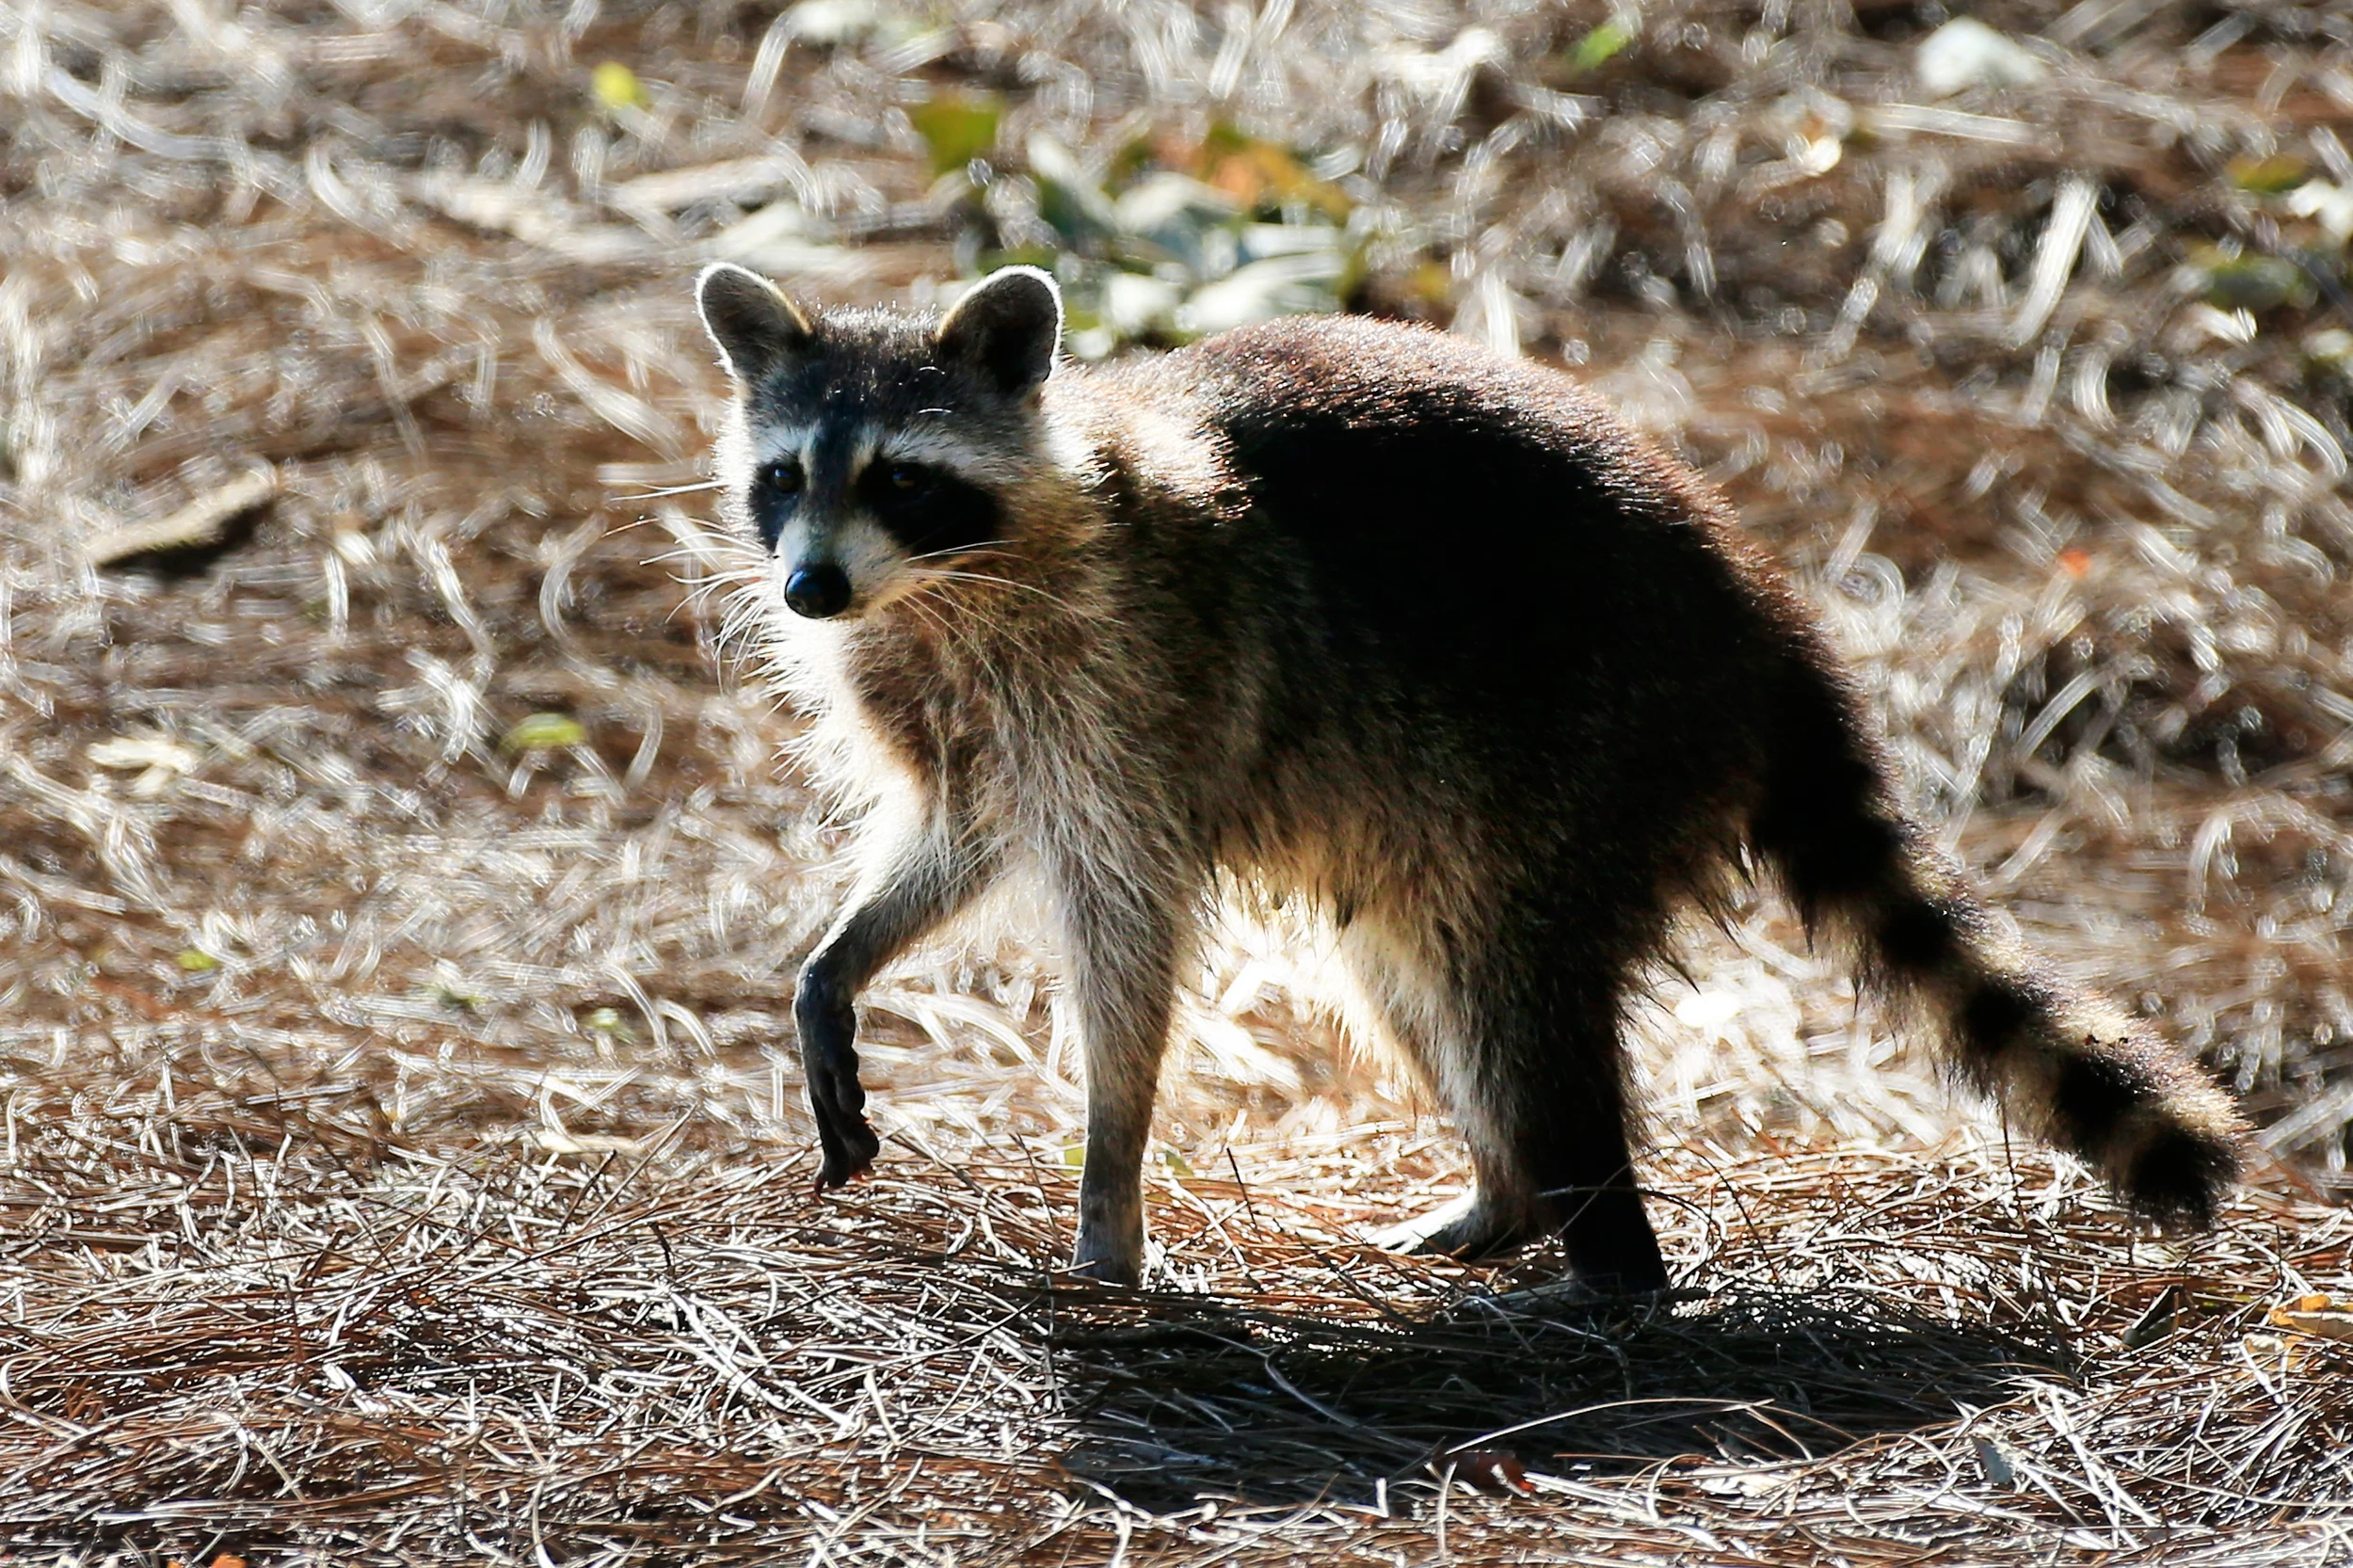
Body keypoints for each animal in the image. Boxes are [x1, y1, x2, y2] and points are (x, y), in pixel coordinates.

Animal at [692, 259, 2240, 1280]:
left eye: (901, 477)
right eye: (783, 476)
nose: (808, 589)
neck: (938, 589)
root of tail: (1763, 619)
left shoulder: (1127, 691)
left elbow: (1126, 939)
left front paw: (1111, 1171)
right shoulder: (958, 711)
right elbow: (958, 836)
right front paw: (837, 963)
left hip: (1594, 750)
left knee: (1518, 1003)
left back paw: (1610, 1259)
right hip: (1435, 817)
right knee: (1416, 978)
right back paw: (1506, 1198)